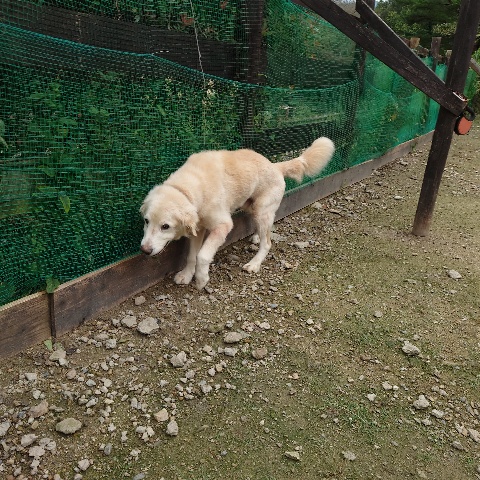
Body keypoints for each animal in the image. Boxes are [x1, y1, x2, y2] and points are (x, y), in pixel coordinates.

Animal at [140, 137, 335, 290]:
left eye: (165, 226)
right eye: (146, 221)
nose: (144, 250)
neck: (188, 188)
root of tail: (275, 166)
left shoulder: (223, 225)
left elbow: (202, 256)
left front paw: (201, 279)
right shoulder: (198, 228)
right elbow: (191, 256)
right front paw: (187, 275)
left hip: (262, 211)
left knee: (267, 243)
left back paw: (254, 263)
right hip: (252, 208)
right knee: (264, 230)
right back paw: (256, 237)